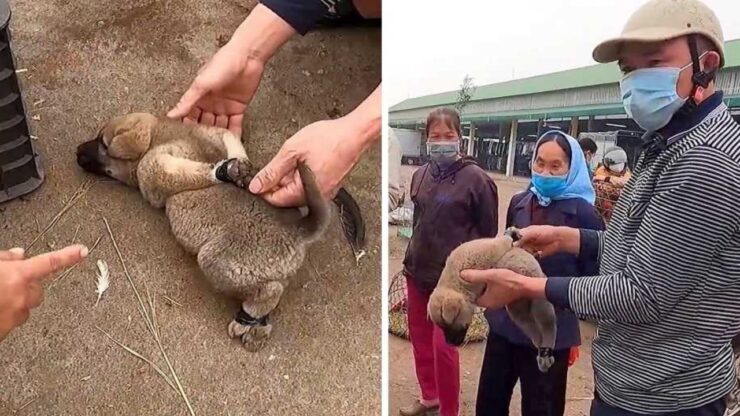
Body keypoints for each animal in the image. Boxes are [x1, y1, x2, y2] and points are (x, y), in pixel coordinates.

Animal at [77, 113, 352, 352]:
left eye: (102, 141)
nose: (77, 151)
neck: (163, 133)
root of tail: (298, 230)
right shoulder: (217, 133)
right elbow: (232, 144)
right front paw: (237, 170)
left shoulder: (154, 169)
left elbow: (178, 173)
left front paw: (225, 172)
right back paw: (256, 328)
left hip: (216, 260)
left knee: (270, 291)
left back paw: (246, 319)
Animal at [424, 229, 556, 372]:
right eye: (442, 328)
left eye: (450, 324)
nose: (450, 343)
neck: (456, 282)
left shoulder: (487, 251)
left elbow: (503, 242)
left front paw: (511, 234)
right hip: (518, 309)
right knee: (531, 327)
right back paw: (542, 352)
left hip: (540, 298)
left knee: (547, 324)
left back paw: (546, 350)